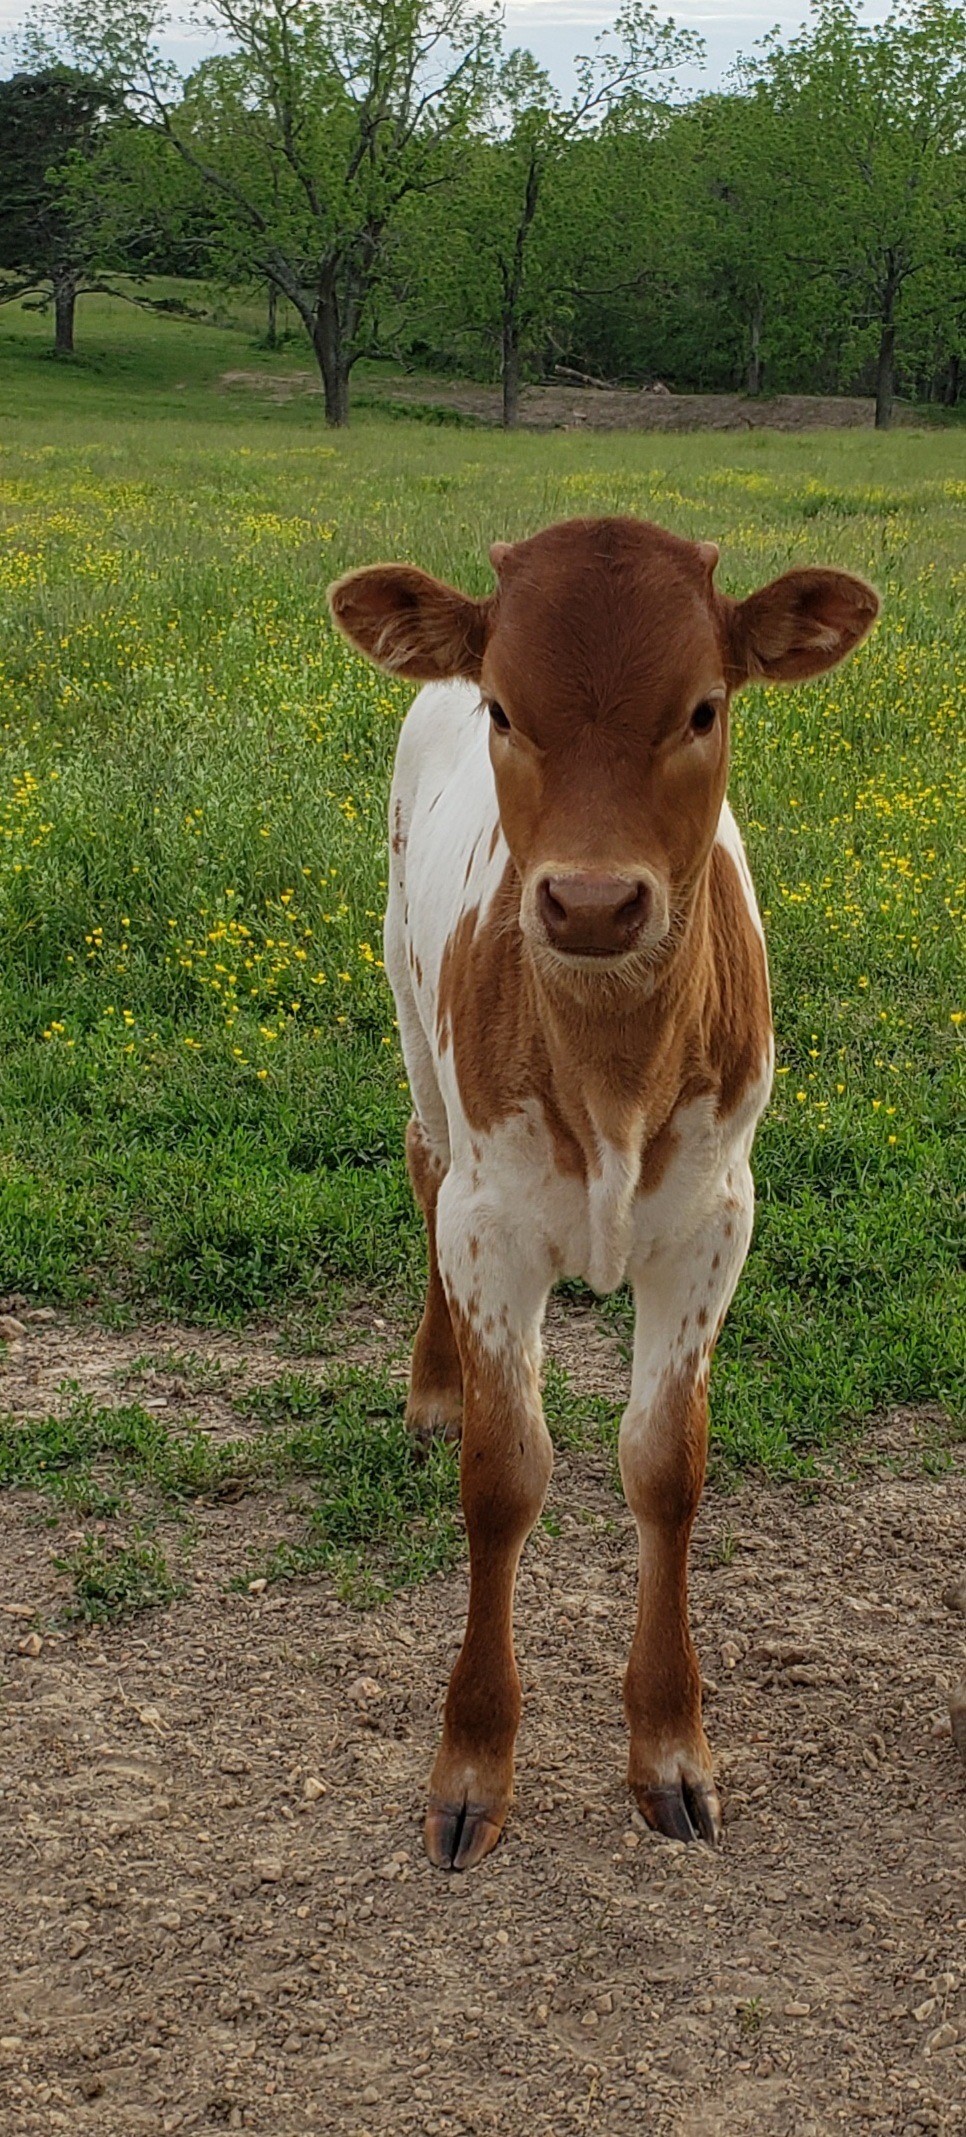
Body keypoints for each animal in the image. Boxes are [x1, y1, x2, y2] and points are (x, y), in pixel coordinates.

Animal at [328, 516, 879, 1872]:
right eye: (505, 708)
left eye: (703, 707)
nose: (588, 901)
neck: (612, 1068)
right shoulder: (491, 1227)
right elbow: (504, 1473)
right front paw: (472, 1762)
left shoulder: (715, 1219)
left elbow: (665, 1464)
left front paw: (671, 1751)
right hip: (407, 1009)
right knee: (420, 1156)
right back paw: (432, 1387)